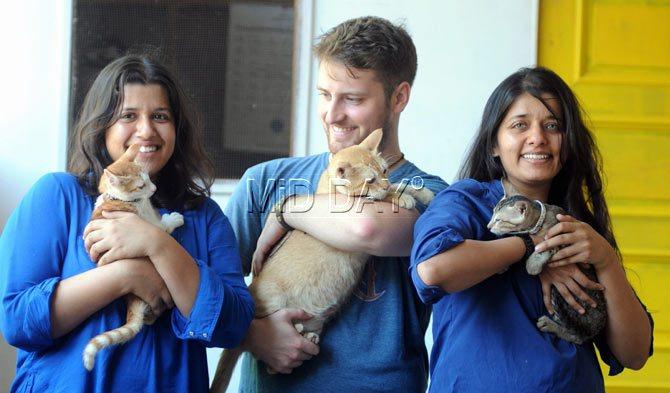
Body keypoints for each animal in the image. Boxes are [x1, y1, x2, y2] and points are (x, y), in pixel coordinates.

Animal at [82, 142, 185, 370]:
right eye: (140, 185)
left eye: (149, 178)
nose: (154, 189)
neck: (116, 198)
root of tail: (132, 300)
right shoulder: (150, 226)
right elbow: (162, 228)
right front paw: (173, 218)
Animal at [211, 130, 436, 390]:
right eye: (370, 180)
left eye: (385, 170)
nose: (385, 182)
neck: (327, 189)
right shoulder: (354, 205)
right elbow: (379, 198)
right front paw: (400, 197)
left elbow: (400, 184)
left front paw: (419, 191)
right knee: (270, 357)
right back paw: (297, 331)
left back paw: (308, 335)